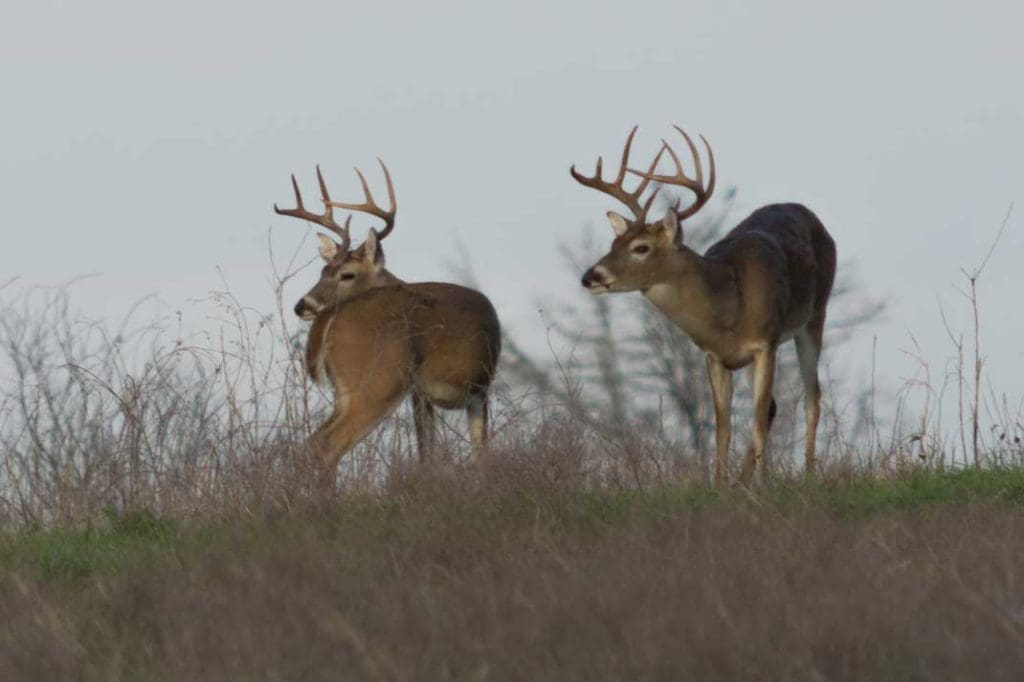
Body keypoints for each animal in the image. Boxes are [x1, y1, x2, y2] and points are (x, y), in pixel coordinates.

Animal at [274, 161, 501, 486]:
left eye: (345, 274)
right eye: (323, 271)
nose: (301, 305)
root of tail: (331, 318)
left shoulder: (422, 394)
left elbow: (427, 452)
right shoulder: (480, 385)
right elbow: (480, 452)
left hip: (347, 389)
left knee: (314, 440)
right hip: (382, 378)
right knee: (329, 442)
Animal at [572, 125, 836, 486]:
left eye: (641, 247)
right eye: (614, 243)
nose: (590, 276)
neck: (728, 308)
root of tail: (809, 213)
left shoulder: (765, 344)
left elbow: (755, 420)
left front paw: (763, 484)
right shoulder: (715, 356)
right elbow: (723, 428)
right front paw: (721, 484)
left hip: (815, 315)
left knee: (812, 398)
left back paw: (808, 474)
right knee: (773, 406)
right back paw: (743, 479)